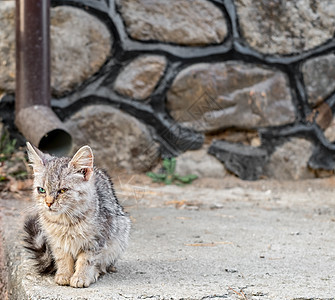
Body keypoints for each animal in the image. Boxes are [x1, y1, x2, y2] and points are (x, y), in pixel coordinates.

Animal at [23, 143, 131, 288]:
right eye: (41, 190)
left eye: (62, 190)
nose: (48, 203)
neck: (66, 222)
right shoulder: (56, 241)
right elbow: (62, 258)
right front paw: (64, 274)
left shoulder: (96, 239)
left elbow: (86, 260)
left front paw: (81, 276)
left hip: (120, 232)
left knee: (104, 264)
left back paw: (96, 272)